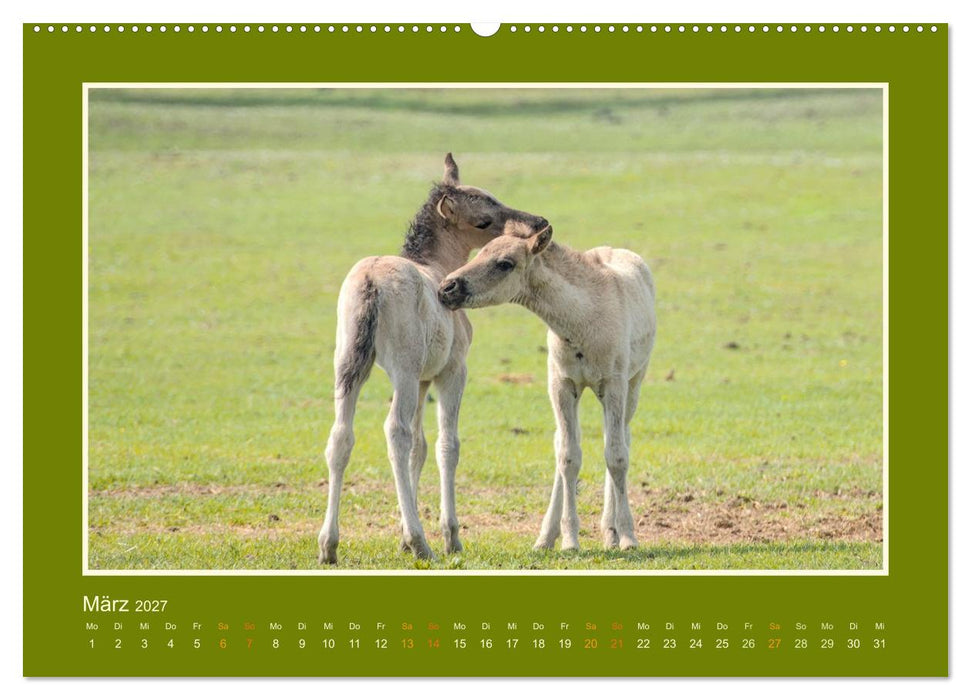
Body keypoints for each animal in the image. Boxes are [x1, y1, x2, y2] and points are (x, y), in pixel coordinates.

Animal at [319, 154, 550, 564]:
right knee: (394, 432)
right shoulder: (450, 372)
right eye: (484, 219)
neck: (436, 266)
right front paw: (449, 536)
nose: (536, 222)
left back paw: (329, 545)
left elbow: (420, 447)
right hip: (403, 370)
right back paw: (420, 542)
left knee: (341, 436)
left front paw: (400, 535)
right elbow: (446, 445)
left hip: (349, 366)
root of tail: (370, 282)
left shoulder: (424, 378)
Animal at [438, 224, 656, 551]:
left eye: (505, 263)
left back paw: (610, 530)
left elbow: (616, 457)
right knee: (562, 445)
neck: (582, 318)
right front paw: (569, 540)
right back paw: (547, 536)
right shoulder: (562, 385)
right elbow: (568, 456)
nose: (446, 288)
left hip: (634, 384)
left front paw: (628, 536)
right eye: (480, 252)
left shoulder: (615, 384)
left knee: (621, 438)